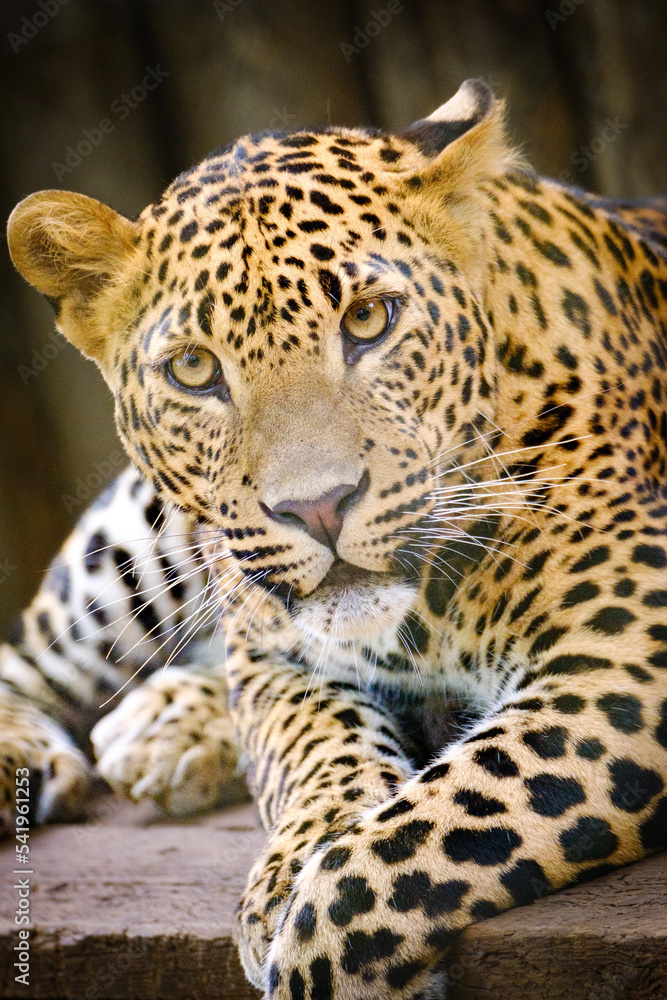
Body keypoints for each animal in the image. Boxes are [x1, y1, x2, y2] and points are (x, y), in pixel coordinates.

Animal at [4, 78, 667, 999]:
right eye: (193, 370)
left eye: (369, 319)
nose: (318, 507)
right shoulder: (278, 663)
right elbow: (313, 752)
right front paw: (288, 871)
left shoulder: (623, 665)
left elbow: (409, 842)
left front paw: (310, 945)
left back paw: (165, 729)